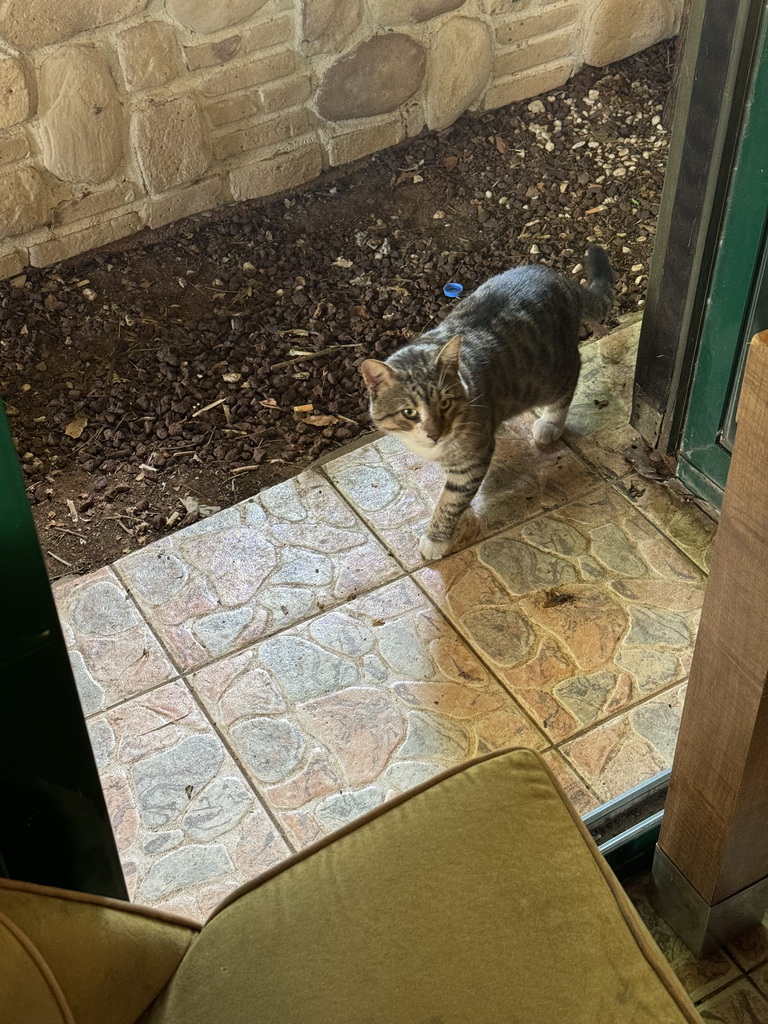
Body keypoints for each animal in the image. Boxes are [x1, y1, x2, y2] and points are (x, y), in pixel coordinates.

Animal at [360, 246, 614, 561]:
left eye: (445, 404)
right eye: (409, 412)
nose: (434, 434)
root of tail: (560, 280)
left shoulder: (472, 459)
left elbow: (451, 500)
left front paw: (437, 536)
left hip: (552, 373)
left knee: (572, 375)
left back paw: (551, 422)